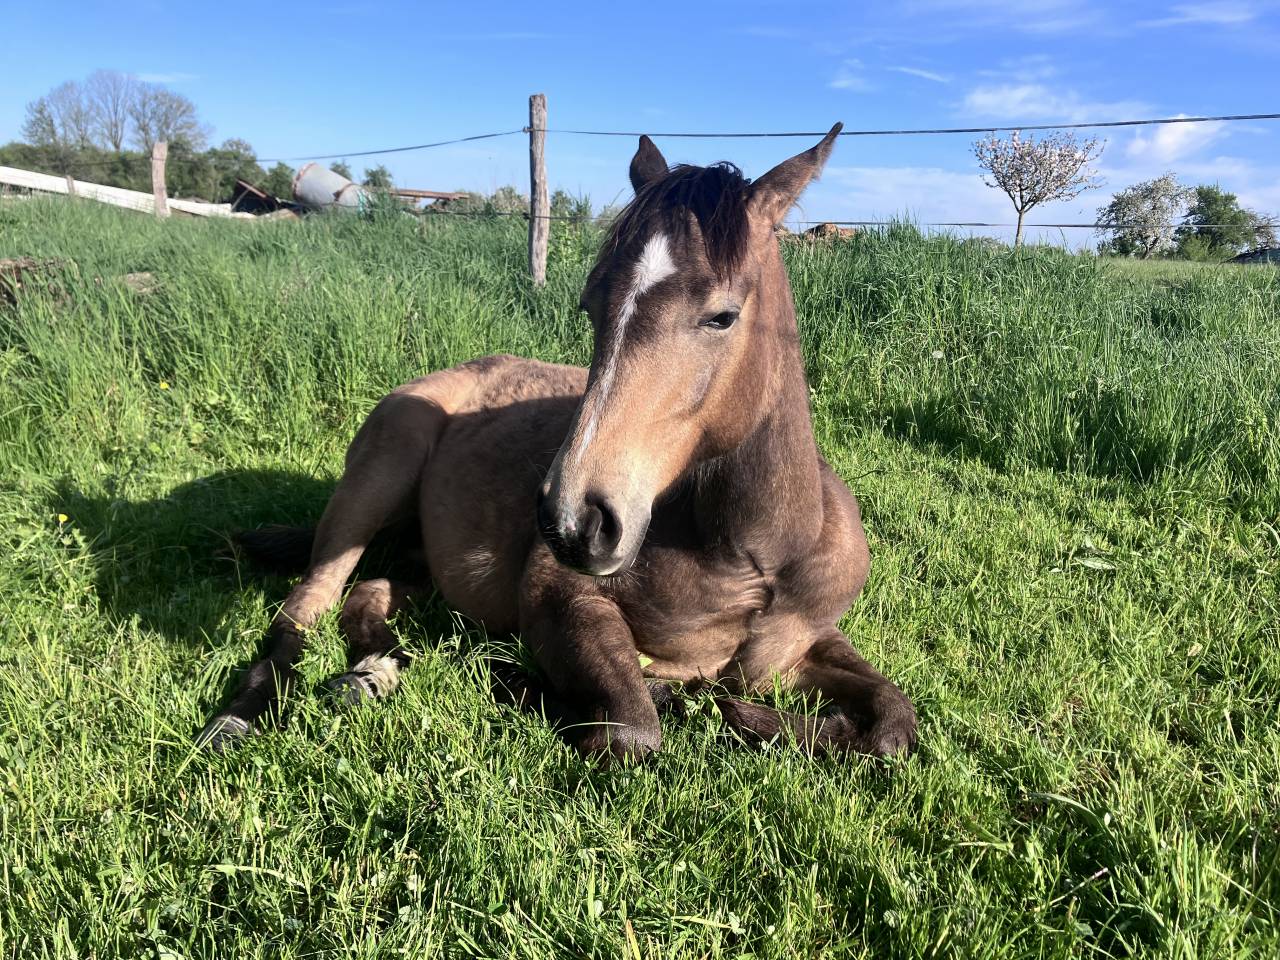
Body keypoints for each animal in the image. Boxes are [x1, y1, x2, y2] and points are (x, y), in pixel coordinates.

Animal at [198, 124, 918, 762]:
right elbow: (633, 726)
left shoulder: (804, 643)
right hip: (376, 477)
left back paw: (373, 672)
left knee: (371, 594)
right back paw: (239, 719)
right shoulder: (557, 594)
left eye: (722, 316)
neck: (751, 558)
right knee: (305, 607)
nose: (575, 520)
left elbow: (892, 721)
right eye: (592, 306)